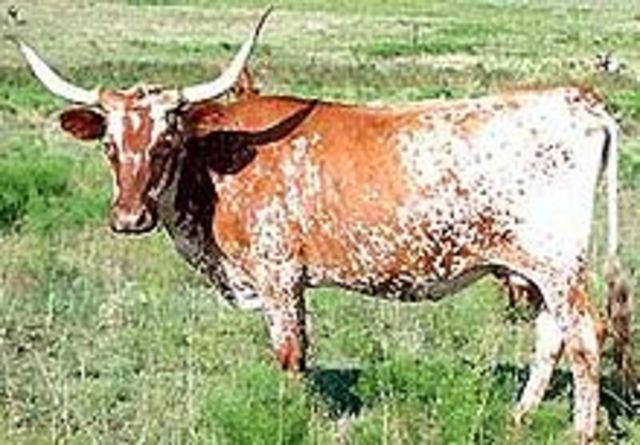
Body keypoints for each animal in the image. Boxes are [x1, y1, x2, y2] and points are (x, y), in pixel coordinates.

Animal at [13, 12, 632, 443]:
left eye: (167, 140)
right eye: (109, 144)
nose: (128, 218)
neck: (217, 161)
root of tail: (581, 100)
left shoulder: (277, 275)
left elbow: (289, 354)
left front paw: (290, 417)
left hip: (557, 263)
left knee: (583, 336)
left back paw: (581, 430)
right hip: (535, 268)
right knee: (551, 335)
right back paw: (520, 416)